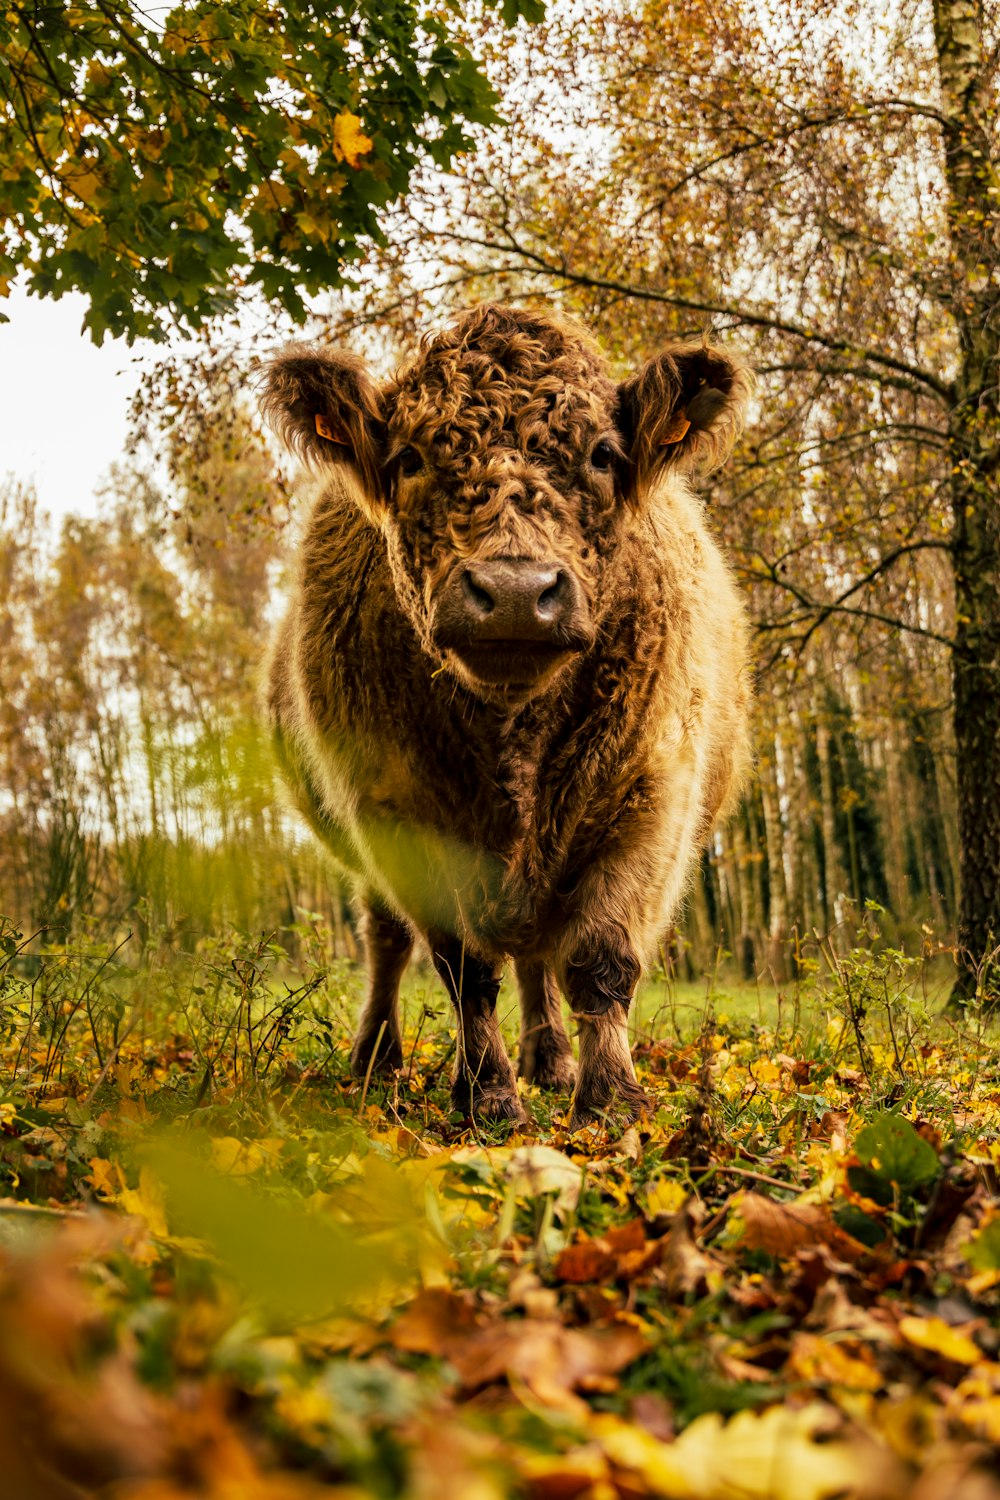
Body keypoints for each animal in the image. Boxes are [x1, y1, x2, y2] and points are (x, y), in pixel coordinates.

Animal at [257, 304, 749, 1128]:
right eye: (410, 458)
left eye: (603, 454)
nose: (517, 591)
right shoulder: (397, 815)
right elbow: (461, 965)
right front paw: (486, 1095)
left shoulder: (651, 796)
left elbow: (601, 958)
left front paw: (609, 1100)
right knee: (388, 939)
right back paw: (377, 1060)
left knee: (538, 957)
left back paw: (550, 1061)